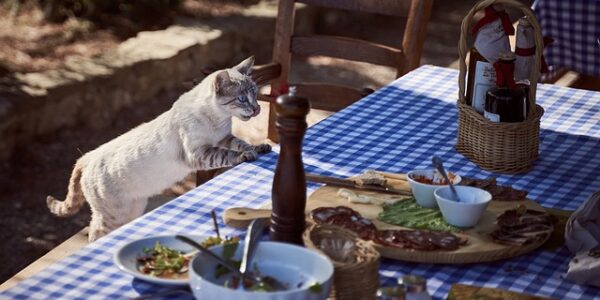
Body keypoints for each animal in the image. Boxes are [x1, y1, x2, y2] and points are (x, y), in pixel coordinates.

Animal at [45, 57, 270, 243]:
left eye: (255, 94)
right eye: (242, 99)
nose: (257, 109)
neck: (218, 120)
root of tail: (88, 156)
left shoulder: (224, 138)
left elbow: (241, 143)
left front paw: (260, 147)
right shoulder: (198, 153)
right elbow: (228, 154)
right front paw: (246, 155)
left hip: (133, 209)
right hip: (113, 215)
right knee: (94, 234)